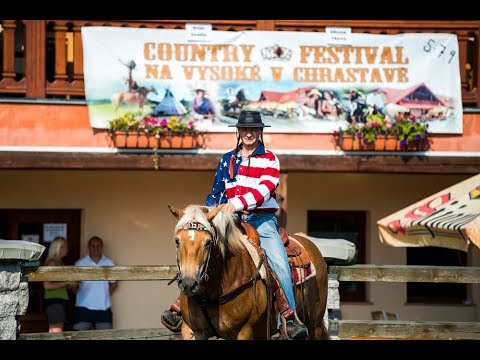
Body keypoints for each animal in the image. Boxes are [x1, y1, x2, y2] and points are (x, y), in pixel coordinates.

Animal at [168, 204, 330, 338]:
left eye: (208, 242)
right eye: (177, 241)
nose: (189, 284)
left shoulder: (244, 331)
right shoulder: (192, 330)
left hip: (314, 324)